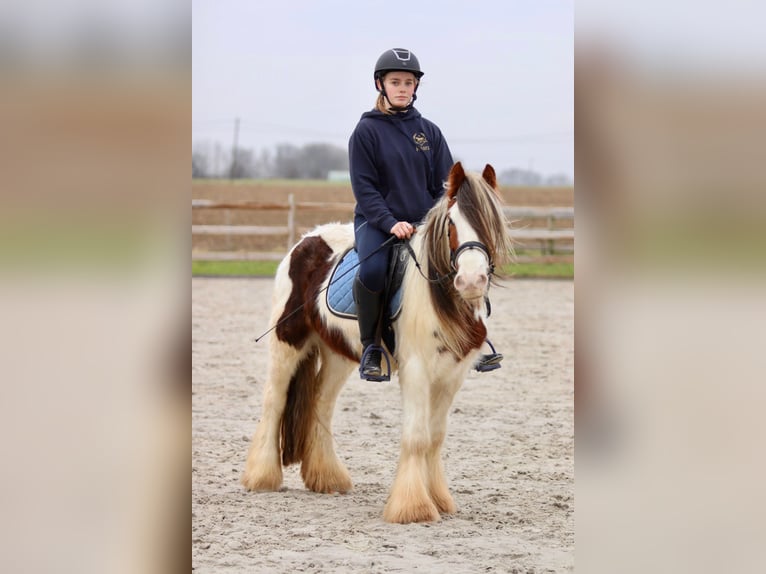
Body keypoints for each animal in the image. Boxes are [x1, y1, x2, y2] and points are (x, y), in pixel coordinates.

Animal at [243, 162, 512, 528]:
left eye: (491, 222)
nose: (471, 281)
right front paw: (413, 507)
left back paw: (328, 478)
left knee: (321, 403)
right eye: (451, 223)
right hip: (288, 343)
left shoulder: (451, 376)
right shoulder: (416, 370)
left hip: (338, 354)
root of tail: (305, 242)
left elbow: (435, 437)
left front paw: (440, 500)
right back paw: (262, 477)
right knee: (275, 400)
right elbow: (417, 436)